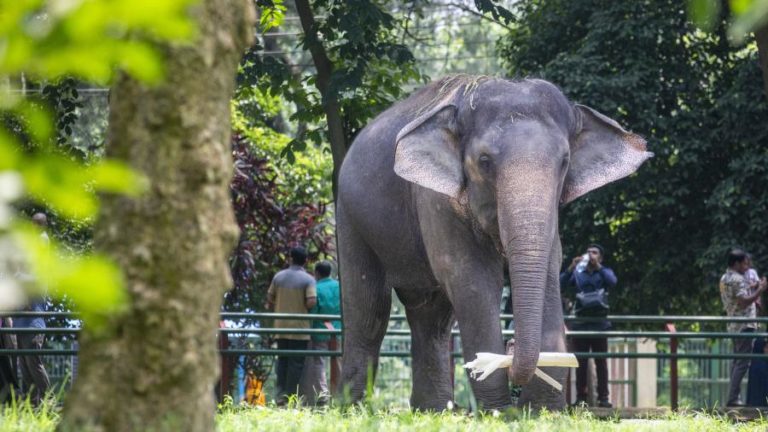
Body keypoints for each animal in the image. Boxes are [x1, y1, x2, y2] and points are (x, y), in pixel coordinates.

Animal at [336, 75, 652, 411]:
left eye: (565, 161)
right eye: (484, 161)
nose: (511, 346)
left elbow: (549, 274)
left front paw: (540, 409)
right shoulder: (435, 200)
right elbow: (473, 280)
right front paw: (500, 410)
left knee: (431, 317)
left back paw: (434, 409)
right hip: (350, 215)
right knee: (370, 309)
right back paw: (348, 406)